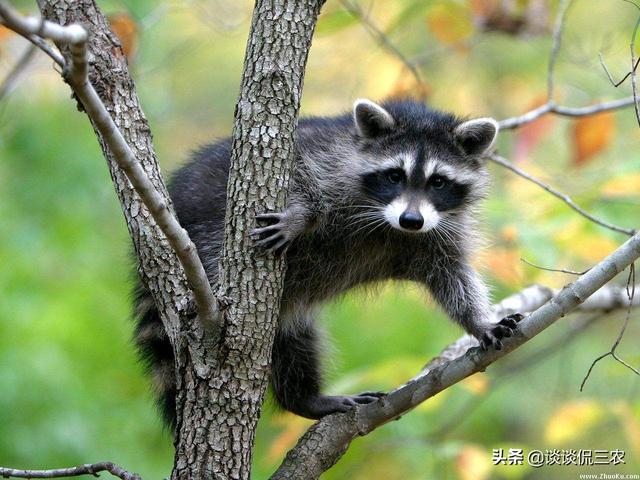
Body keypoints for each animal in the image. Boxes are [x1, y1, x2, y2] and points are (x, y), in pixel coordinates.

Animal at [134, 96, 520, 424]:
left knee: (294, 342)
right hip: (208, 237)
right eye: (395, 175)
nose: (411, 220)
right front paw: (300, 215)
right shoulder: (327, 157)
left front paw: (479, 321)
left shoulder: (438, 232)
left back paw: (304, 398)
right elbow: (299, 173)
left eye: (438, 182)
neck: (389, 225)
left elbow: (452, 277)